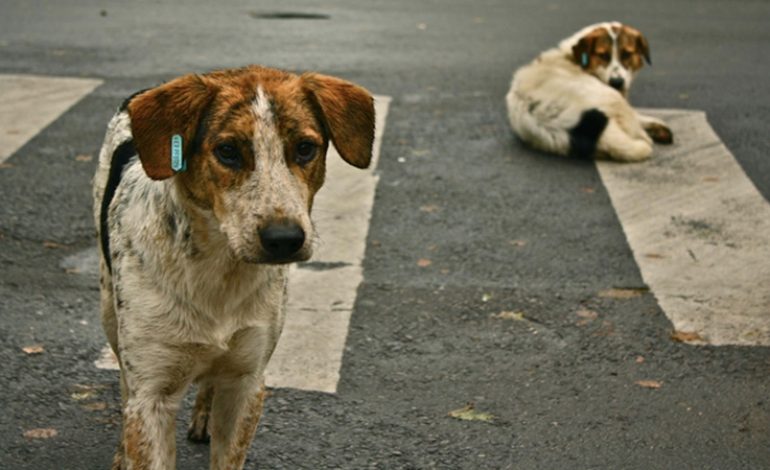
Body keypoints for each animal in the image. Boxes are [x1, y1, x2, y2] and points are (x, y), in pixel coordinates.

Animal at [91, 67, 374, 470]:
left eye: (305, 148)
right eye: (227, 151)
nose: (285, 239)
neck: (219, 269)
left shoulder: (246, 382)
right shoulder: (152, 392)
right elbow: (139, 411)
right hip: (109, 313)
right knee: (123, 383)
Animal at [504, 21, 672, 162]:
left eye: (626, 54)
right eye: (602, 55)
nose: (617, 82)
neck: (572, 57)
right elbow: (636, 116)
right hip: (611, 97)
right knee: (637, 131)